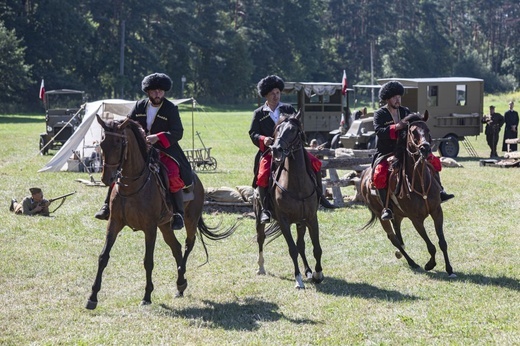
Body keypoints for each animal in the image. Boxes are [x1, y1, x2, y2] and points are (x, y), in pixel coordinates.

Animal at [87, 115, 238, 310]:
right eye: (102, 143)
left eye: (119, 143)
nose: (107, 178)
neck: (132, 186)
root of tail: (197, 180)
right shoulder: (114, 223)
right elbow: (103, 257)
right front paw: (92, 297)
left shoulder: (150, 228)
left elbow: (148, 261)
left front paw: (147, 296)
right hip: (165, 225)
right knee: (176, 247)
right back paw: (180, 285)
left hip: (189, 220)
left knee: (188, 244)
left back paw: (181, 279)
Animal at [255, 112, 322, 288]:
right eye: (277, 129)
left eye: (292, 130)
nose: (276, 149)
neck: (297, 185)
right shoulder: (283, 221)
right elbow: (292, 249)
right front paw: (298, 279)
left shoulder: (311, 218)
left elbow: (315, 248)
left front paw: (318, 273)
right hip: (259, 217)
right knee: (261, 238)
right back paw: (261, 267)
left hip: (300, 222)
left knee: (301, 245)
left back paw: (308, 271)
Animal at [362, 112, 456, 278]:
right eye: (413, 132)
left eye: (427, 129)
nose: (425, 148)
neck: (420, 184)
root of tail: (363, 178)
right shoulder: (416, 220)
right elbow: (431, 246)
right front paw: (430, 264)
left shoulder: (437, 212)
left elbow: (442, 243)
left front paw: (449, 269)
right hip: (381, 214)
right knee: (393, 238)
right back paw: (412, 262)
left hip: (398, 215)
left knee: (398, 235)